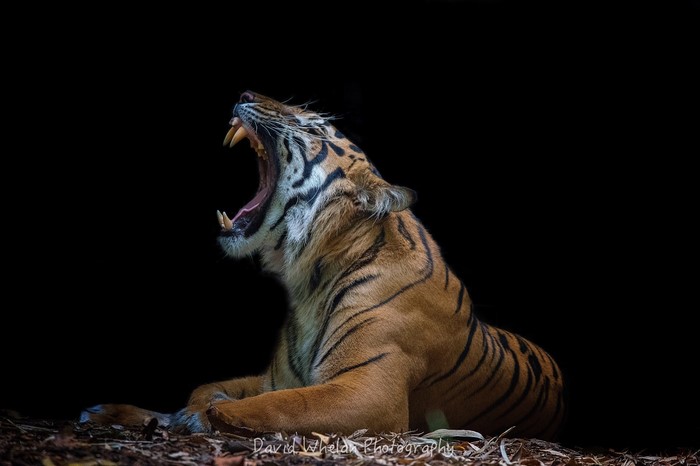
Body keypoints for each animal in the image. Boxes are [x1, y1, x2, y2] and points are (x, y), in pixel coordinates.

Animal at [81, 90, 565, 440]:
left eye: (312, 125)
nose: (245, 93)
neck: (309, 280)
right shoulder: (276, 376)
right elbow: (204, 388)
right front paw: (181, 410)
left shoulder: (369, 391)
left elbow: (283, 405)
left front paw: (207, 417)